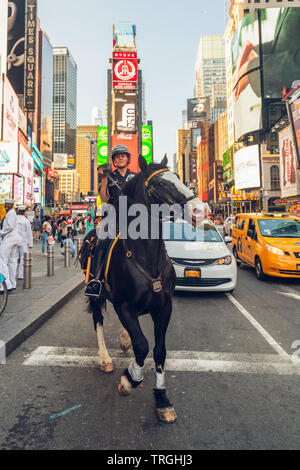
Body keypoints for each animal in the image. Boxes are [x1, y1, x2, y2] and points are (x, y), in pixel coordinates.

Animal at [79, 156, 206, 424]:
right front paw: (129, 380)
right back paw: (105, 359)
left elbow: (158, 351)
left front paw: (162, 400)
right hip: (95, 293)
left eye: (178, 176)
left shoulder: (164, 307)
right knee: (98, 319)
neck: (146, 255)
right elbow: (142, 346)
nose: (201, 209)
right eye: (160, 183)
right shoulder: (124, 305)